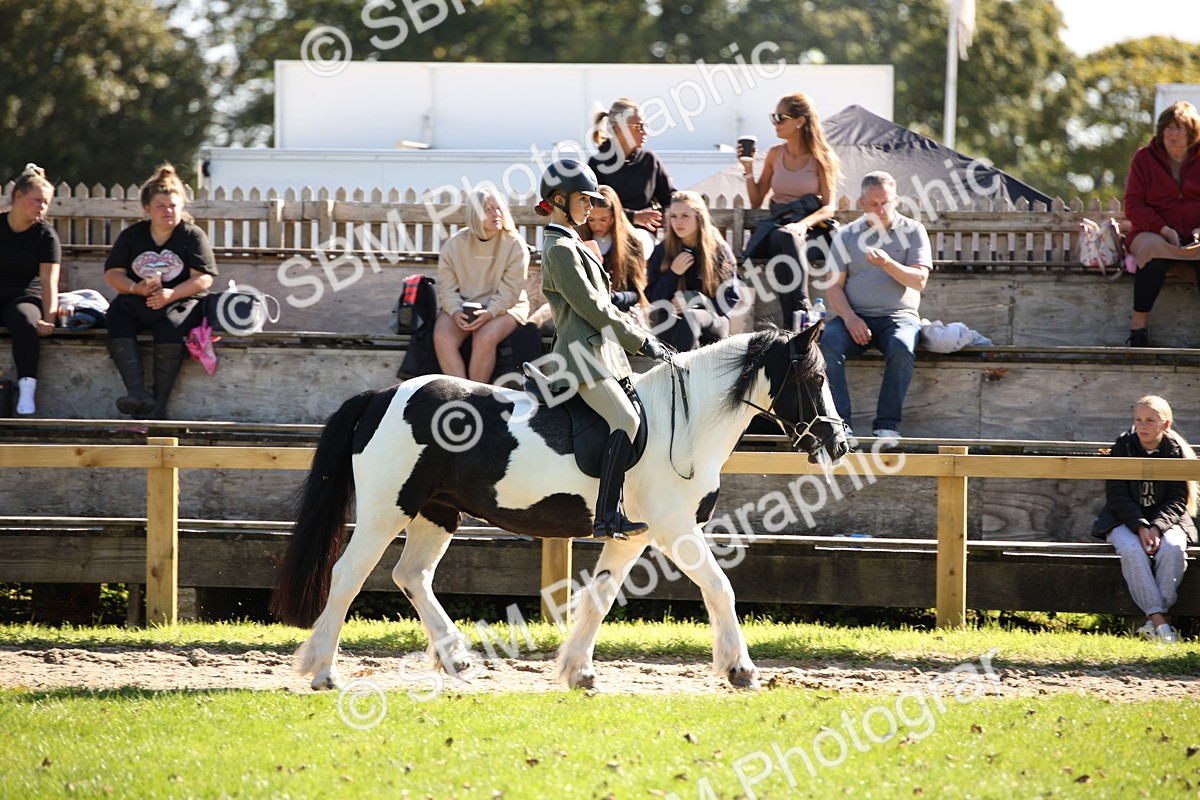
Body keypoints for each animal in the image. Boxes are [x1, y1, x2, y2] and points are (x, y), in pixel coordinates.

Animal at [272, 322, 849, 691]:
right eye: (816, 380)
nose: (839, 444)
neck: (683, 424)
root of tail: (382, 395)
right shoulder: (674, 528)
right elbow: (720, 587)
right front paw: (740, 670)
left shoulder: (635, 535)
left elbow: (599, 597)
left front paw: (578, 672)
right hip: (383, 511)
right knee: (348, 575)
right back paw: (322, 671)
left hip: (436, 512)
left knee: (411, 576)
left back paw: (456, 660)